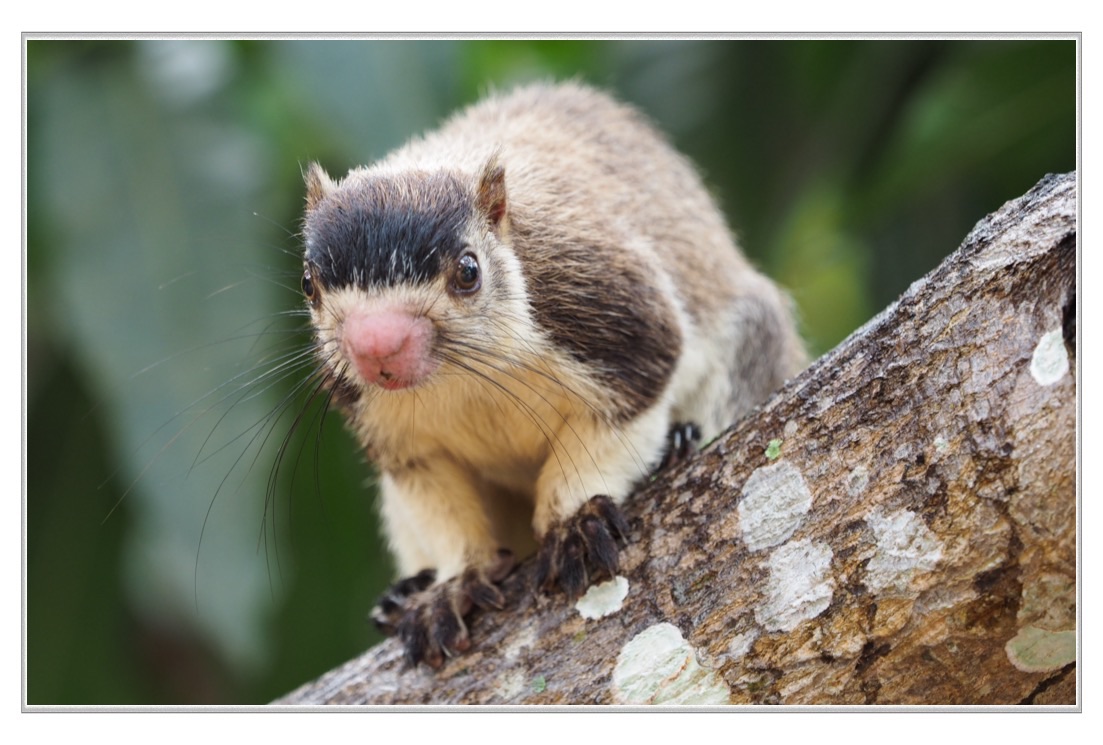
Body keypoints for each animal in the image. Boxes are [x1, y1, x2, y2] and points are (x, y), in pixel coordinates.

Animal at [297, 83, 807, 671]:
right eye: (308, 282)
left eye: (468, 271)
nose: (376, 347)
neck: (465, 379)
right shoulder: (400, 442)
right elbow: (442, 508)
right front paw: (449, 586)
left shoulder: (612, 316)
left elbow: (614, 424)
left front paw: (575, 524)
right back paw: (401, 595)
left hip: (751, 340)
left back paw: (681, 442)